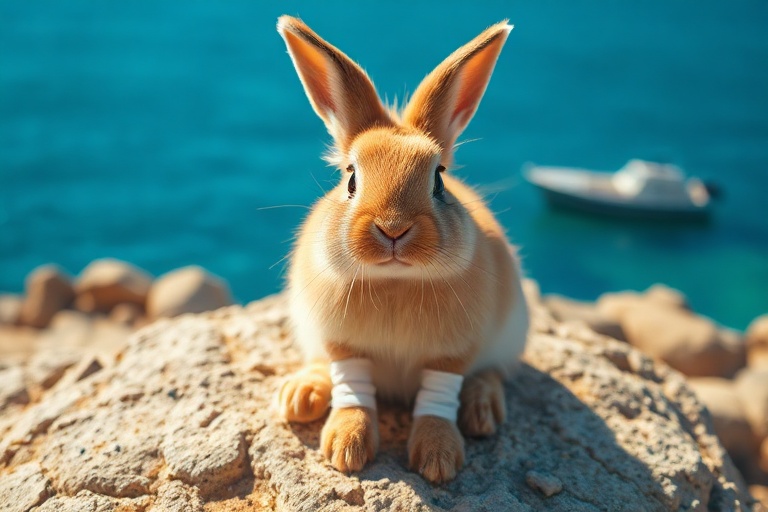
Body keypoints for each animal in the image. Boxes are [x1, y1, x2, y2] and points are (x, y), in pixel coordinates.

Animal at [275, 15, 529, 483]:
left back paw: (482, 410)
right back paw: (301, 395)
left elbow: (437, 400)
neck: (394, 280)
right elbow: (353, 389)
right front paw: (345, 448)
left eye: (439, 179)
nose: (393, 228)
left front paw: (438, 460)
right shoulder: (341, 344)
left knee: (492, 373)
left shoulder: (452, 353)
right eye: (350, 178)